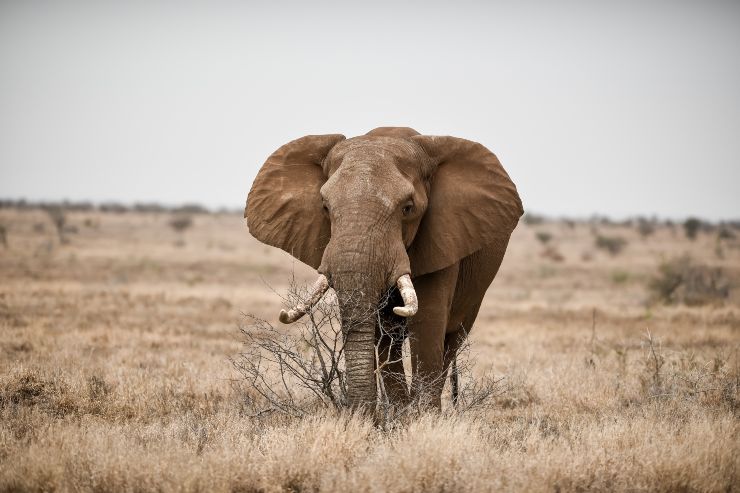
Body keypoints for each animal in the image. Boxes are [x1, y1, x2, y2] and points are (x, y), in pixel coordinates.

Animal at [246, 125, 524, 410]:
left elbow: (428, 319)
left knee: (452, 339)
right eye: (324, 207)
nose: (361, 414)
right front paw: (400, 416)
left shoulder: (442, 239)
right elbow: (383, 331)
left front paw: (422, 418)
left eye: (408, 208)